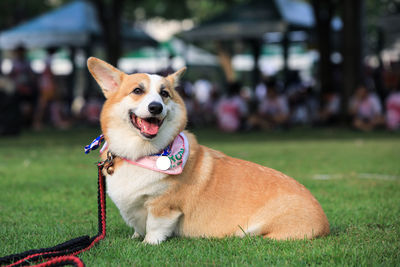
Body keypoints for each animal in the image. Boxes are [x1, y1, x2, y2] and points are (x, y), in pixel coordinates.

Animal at [86, 57, 328, 246]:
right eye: (137, 90)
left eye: (164, 94)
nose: (156, 107)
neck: (143, 154)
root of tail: (325, 224)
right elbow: (137, 227)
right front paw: (135, 237)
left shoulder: (163, 207)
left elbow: (154, 227)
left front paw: (147, 243)